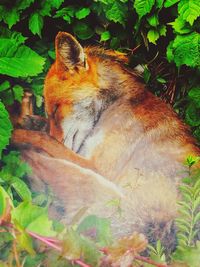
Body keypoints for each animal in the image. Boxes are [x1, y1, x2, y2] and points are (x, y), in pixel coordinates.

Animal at [12, 31, 200, 253]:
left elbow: (42, 139)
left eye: (56, 110)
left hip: (93, 184)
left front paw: (18, 133)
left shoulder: (97, 166)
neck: (112, 106)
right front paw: (31, 121)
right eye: (49, 113)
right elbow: (43, 134)